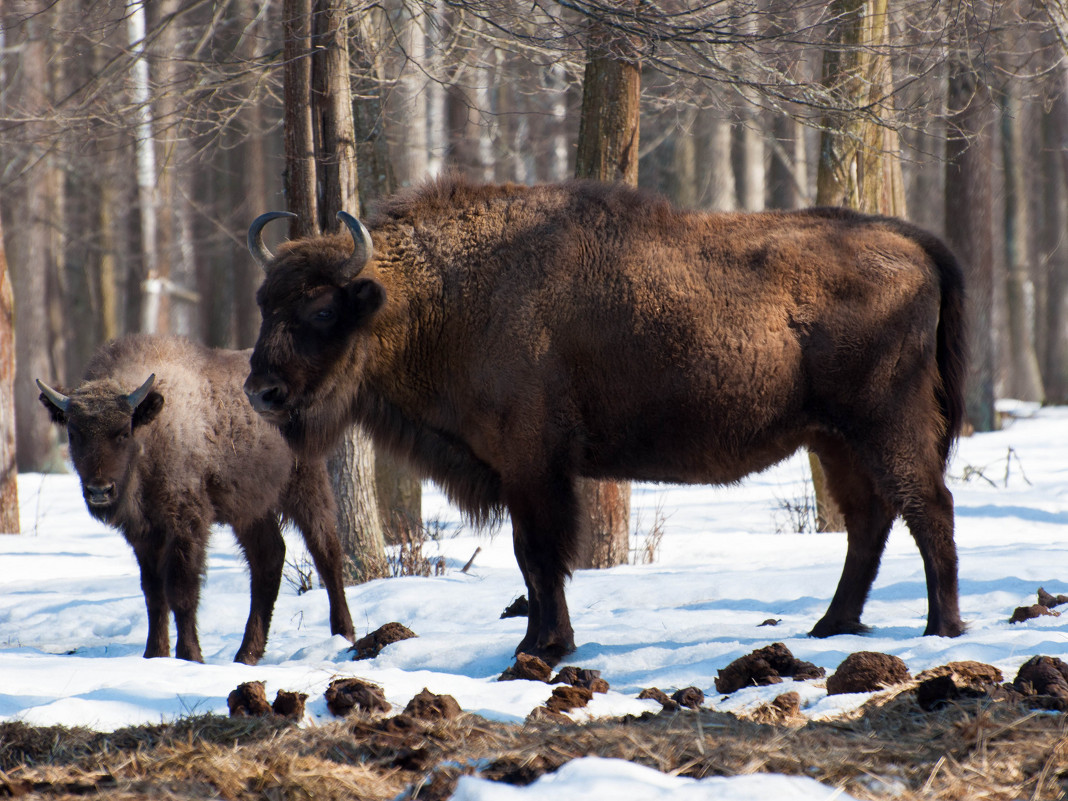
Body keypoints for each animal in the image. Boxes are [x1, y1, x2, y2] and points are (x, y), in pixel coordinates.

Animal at [38, 333, 354, 666]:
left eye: (123, 432)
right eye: (73, 433)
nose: (99, 490)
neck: (152, 431)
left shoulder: (186, 525)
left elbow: (181, 590)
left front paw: (190, 656)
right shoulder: (143, 533)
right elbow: (153, 594)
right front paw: (154, 654)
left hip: (305, 487)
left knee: (326, 552)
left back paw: (343, 634)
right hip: (250, 509)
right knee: (269, 557)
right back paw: (246, 654)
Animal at [245, 178, 974, 666]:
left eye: (319, 310)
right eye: (264, 303)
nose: (260, 391)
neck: (438, 293)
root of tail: (911, 241)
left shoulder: (533, 465)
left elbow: (539, 555)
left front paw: (542, 649)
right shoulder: (525, 470)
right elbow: (533, 561)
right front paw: (539, 641)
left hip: (885, 424)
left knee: (927, 506)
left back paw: (940, 629)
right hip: (834, 439)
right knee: (870, 519)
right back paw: (831, 626)